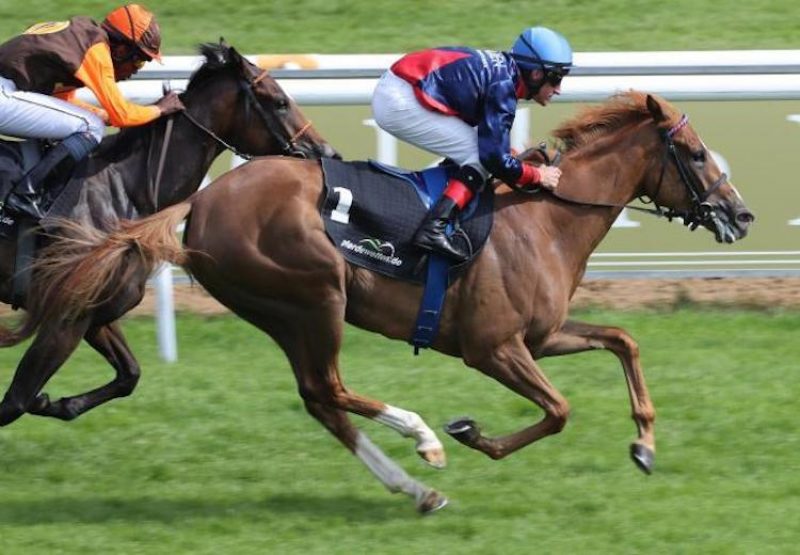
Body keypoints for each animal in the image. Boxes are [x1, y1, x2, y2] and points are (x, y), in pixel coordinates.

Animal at [0, 41, 334, 426]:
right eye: (279, 101)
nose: (325, 152)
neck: (125, 188)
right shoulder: (65, 316)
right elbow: (15, 401)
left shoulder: (93, 312)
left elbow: (129, 374)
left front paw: (57, 403)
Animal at [20, 91, 756, 512]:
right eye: (696, 154)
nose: (742, 214)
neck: (544, 217)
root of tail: (200, 201)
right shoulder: (493, 347)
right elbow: (559, 410)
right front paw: (471, 433)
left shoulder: (541, 336)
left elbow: (622, 340)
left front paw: (645, 444)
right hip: (317, 291)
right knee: (330, 386)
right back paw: (423, 439)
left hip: (279, 310)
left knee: (321, 399)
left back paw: (417, 487)